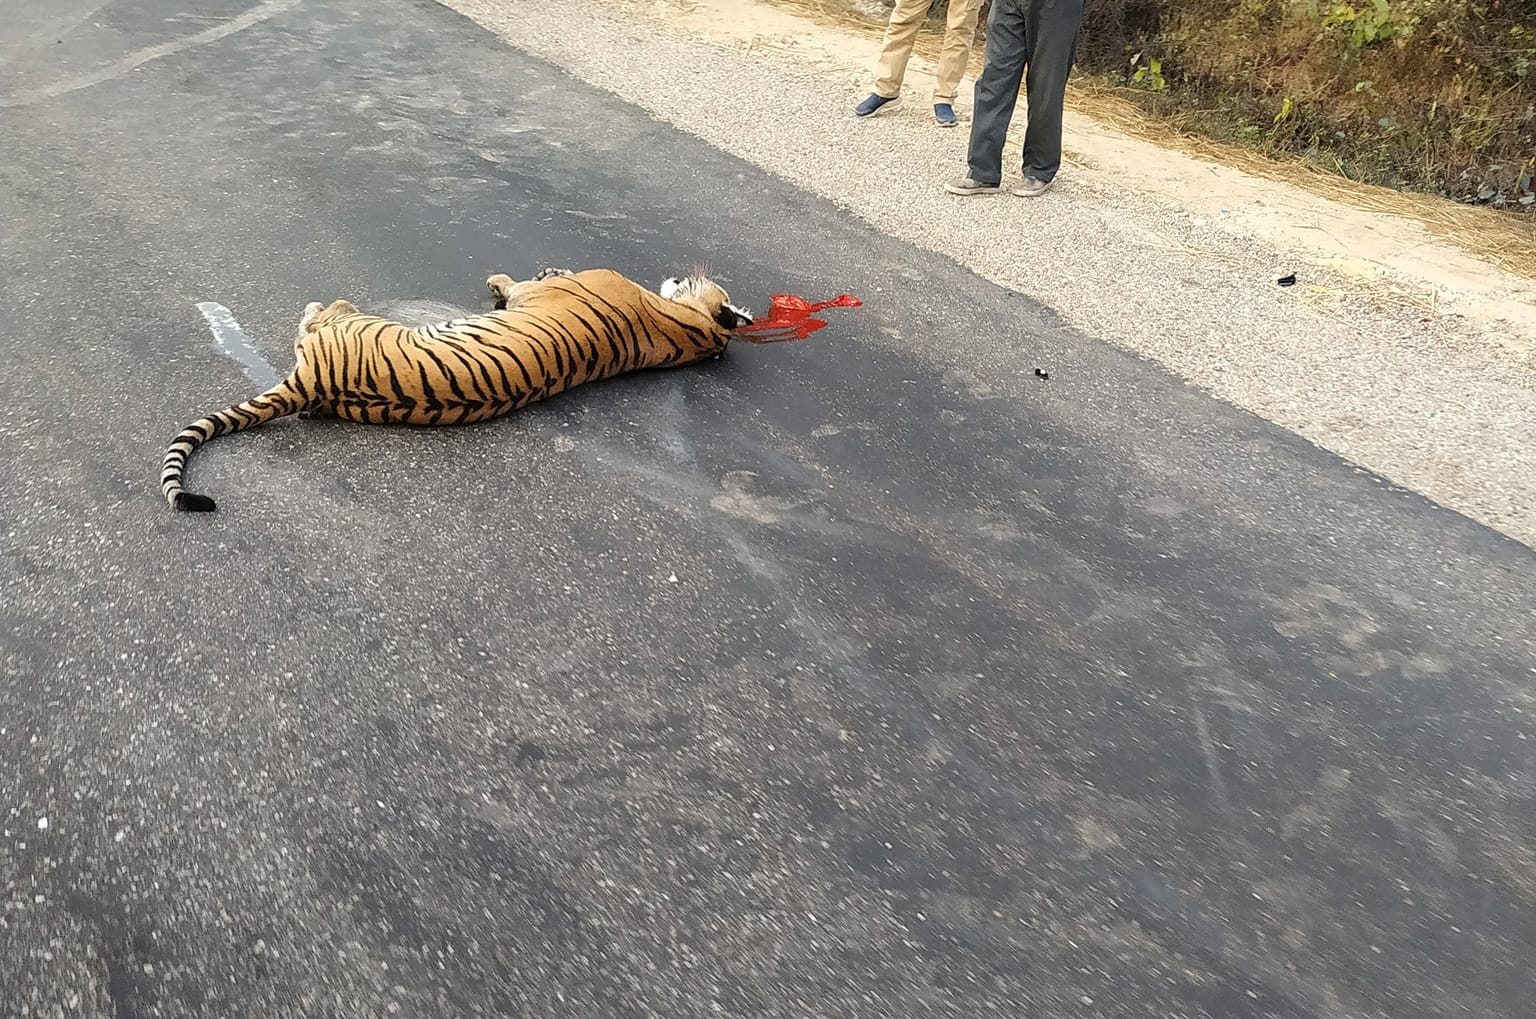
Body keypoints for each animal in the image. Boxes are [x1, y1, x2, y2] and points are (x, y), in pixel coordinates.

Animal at [158, 267, 752, 513]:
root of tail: (313, 384)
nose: (689, 267)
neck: (689, 331)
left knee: (315, 319)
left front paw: (501, 281)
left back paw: (311, 306)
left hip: (349, 319)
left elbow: (520, 281)